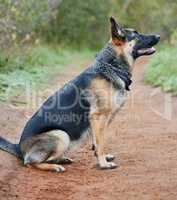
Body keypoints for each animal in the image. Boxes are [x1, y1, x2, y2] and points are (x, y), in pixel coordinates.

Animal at [0, 17, 160, 172]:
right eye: (136, 35)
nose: (158, 36)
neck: (111, 66)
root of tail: (19, 148)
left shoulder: (98, 121)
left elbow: (97, 142)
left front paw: (102, 158)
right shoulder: (99, 117)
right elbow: (101, 143)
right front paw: (103, 164)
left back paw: (61, 159)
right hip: (61, 135)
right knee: (30, 163)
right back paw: (54, 166)